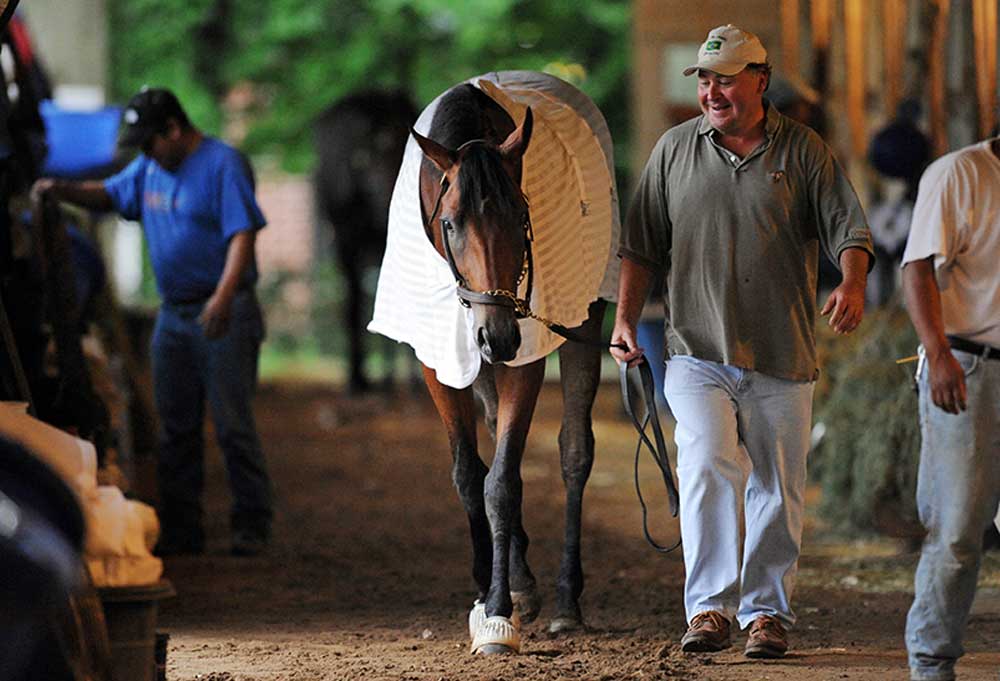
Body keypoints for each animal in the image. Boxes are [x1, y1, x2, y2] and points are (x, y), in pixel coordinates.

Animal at [408, 83, 608, 652]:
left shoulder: (525, 353)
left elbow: (502, 482)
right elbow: (468, 474)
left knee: (574, 451)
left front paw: (497, 611)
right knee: (495, 433)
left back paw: (565, 600)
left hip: (583, 319)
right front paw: (488, 590)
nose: (496, 335)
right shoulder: (439, 362)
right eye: (449, 223)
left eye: (522, 214)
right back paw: (522, 581)